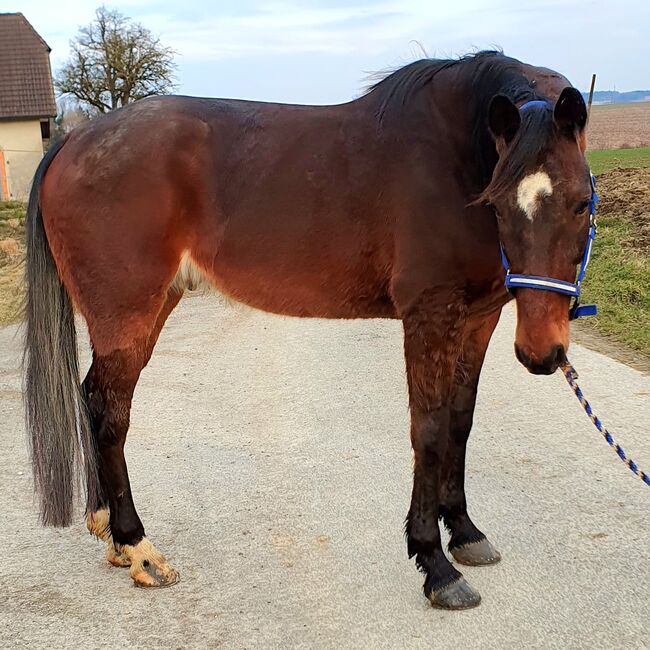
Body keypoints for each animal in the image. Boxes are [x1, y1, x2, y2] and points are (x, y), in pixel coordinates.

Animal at [24, 50, 592, 608]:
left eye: (583, 203)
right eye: (496, 203)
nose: (542, 353)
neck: (456, 154)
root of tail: (74, 139)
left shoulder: (479, 318)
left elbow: (460, 420)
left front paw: (466, 532)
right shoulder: (429, 315)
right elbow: (428, 430)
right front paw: (435, 564)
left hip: (155, 304)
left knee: (93, 398)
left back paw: (111, 534)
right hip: (128, 312)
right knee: (109, 412)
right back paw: (138, 547)